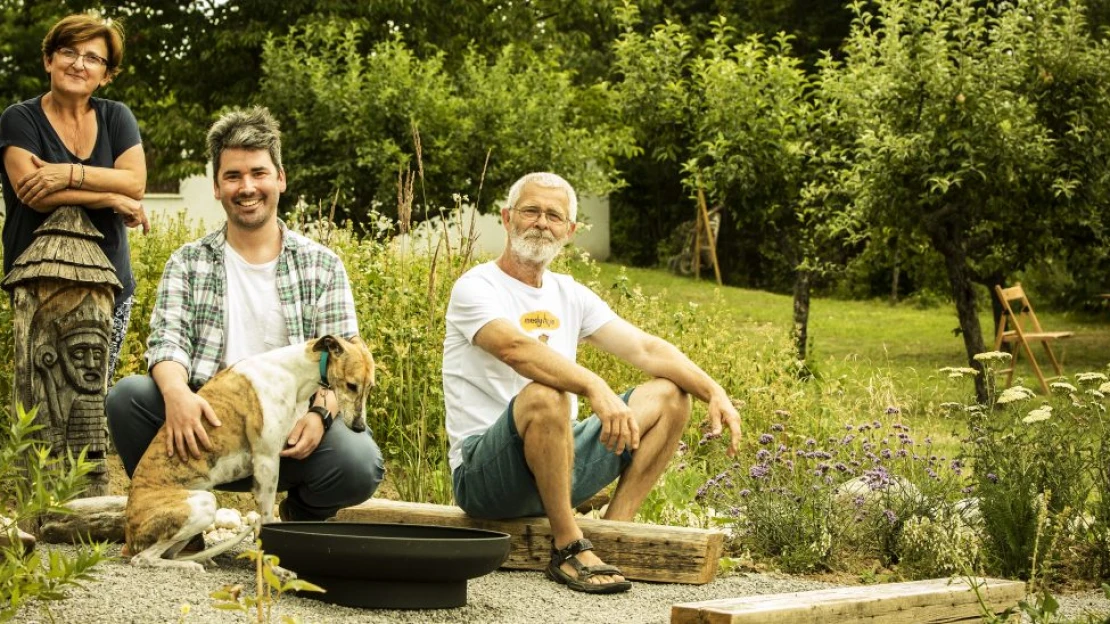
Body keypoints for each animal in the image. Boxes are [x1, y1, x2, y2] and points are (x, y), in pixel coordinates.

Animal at [125, 335, 375, 568]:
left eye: (370, 387)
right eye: (351, 385)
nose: (359, 427)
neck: (292, 372)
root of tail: (129, 533)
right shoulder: (267, 461)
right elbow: (266, 518)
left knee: (165, 554)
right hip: (203, 504)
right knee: (142, 558)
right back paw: (190, 565)